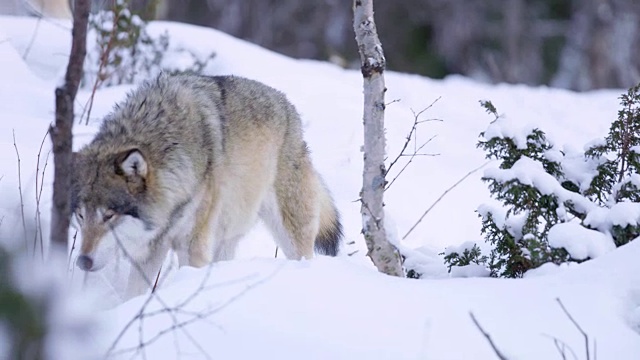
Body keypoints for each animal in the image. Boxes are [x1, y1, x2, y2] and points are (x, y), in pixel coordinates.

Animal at [70, 73, 342, 298]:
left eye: (109, 215)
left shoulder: (192, 244)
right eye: (81, 215)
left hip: (290, 237)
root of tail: (290, 109)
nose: (82, 261)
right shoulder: (150, 250)